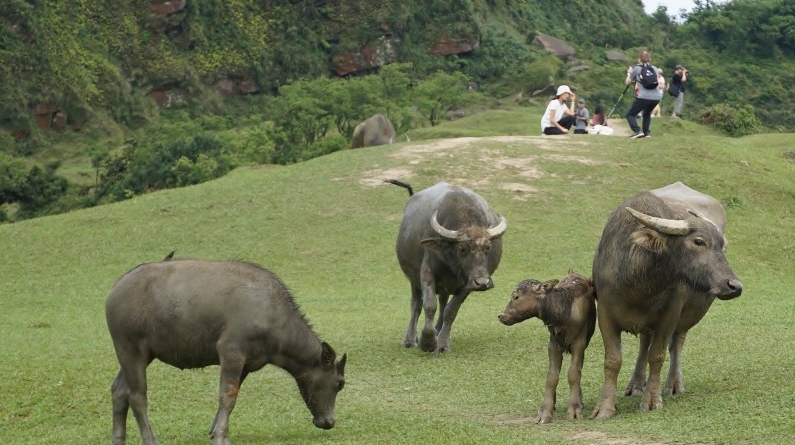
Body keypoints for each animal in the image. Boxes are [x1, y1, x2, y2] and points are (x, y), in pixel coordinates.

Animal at [104, 256, 346, 444]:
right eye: (339, 383)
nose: (329, 421)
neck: (274, 320)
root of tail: (115, 289)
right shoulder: (231, 352)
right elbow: (228, 396)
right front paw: (221, 436)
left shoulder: (247, 363)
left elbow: (230, 396)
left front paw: (214, 431)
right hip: (130, 348)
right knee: (137, 395)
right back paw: (150, 439)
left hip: (141, 354)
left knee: (119, 390)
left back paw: (118, 439)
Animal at [388, 179, 506, 352]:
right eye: (462, 249)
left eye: (488, 248)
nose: (483, 283)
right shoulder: (426, 273)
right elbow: (429, 305)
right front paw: (427, 341)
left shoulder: (467, 284)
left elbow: (451, 311)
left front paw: (442, 344)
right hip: (413, 278)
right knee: (416, 304)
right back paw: (409, 339)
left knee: (443, 302)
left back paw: (439, 331)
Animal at [498, 270, 596, 424]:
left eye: (516, 296)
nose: (501, 315)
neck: (563, 313)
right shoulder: (553, 345)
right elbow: (552, 376)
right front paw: (545, 411)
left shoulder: (579, 344)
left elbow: (574, 373)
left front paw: (574, 409)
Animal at [592, 182, 744, 418]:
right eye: (699, 241)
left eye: (721, 246)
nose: (735, 286)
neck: (638, 282)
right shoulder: (605, 313)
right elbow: (613, 360)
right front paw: (605, 407)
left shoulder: (670, 315)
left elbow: (657, 356)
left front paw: (652, 400)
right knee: (644, 342)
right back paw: (636, 384)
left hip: (686, 318)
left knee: (677, 344)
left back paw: (674, 384)